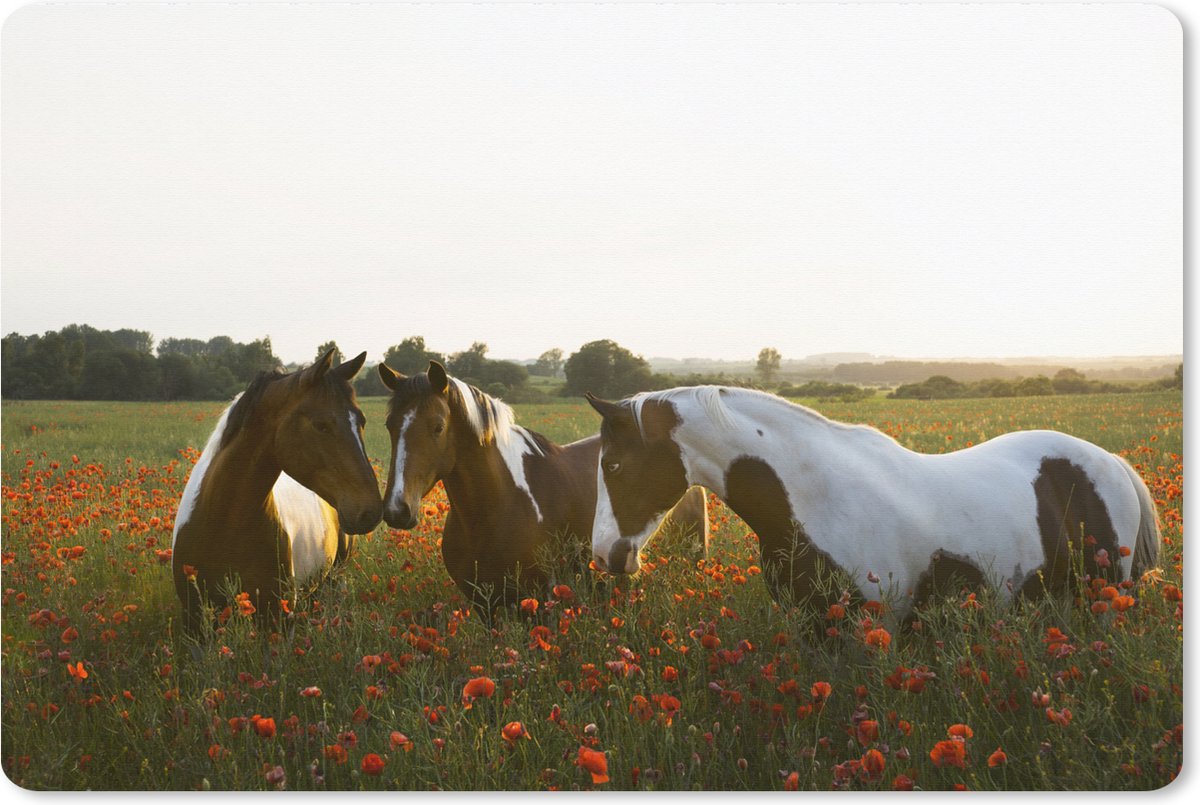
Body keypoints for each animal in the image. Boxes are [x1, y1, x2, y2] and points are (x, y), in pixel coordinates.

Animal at [171, 350, 383, 633]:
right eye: (321, 425)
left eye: (361, 421)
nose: (371, 510)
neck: (223, 523)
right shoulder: (195, 619)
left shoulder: (276, 619)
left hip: (335, 578)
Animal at [377, 361, 708, 610]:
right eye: (389, 425)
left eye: (438, 426)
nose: (397, 509)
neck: (493, 508)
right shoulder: (485, 607)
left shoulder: (537, 603)